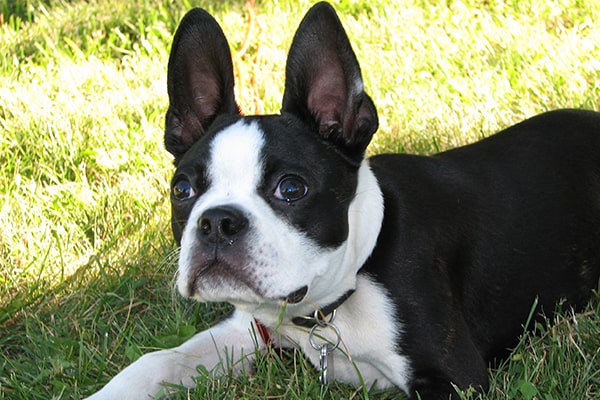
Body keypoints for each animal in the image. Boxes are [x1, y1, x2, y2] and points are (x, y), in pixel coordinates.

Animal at [88, 3, 600, 400]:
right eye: (183, 191)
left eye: (291, 189)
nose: (216, 222)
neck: (328, 306)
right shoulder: (246, 329)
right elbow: (160, 359)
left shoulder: (455, 378)